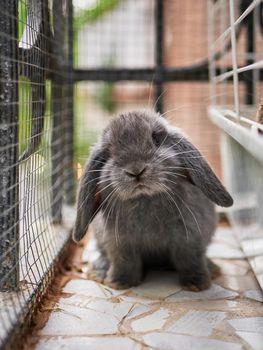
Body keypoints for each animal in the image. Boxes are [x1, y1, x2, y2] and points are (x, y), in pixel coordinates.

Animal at [72, 110, 233, 292]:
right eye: (108, 151)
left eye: (156, 139)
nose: (136, 170)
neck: (145, 198)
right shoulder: (120, 243)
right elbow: (124, 262)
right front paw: (119, 283)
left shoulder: (190, 239)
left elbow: (191, 260)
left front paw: (197, 284)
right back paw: (99, 270)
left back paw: (212, 268)